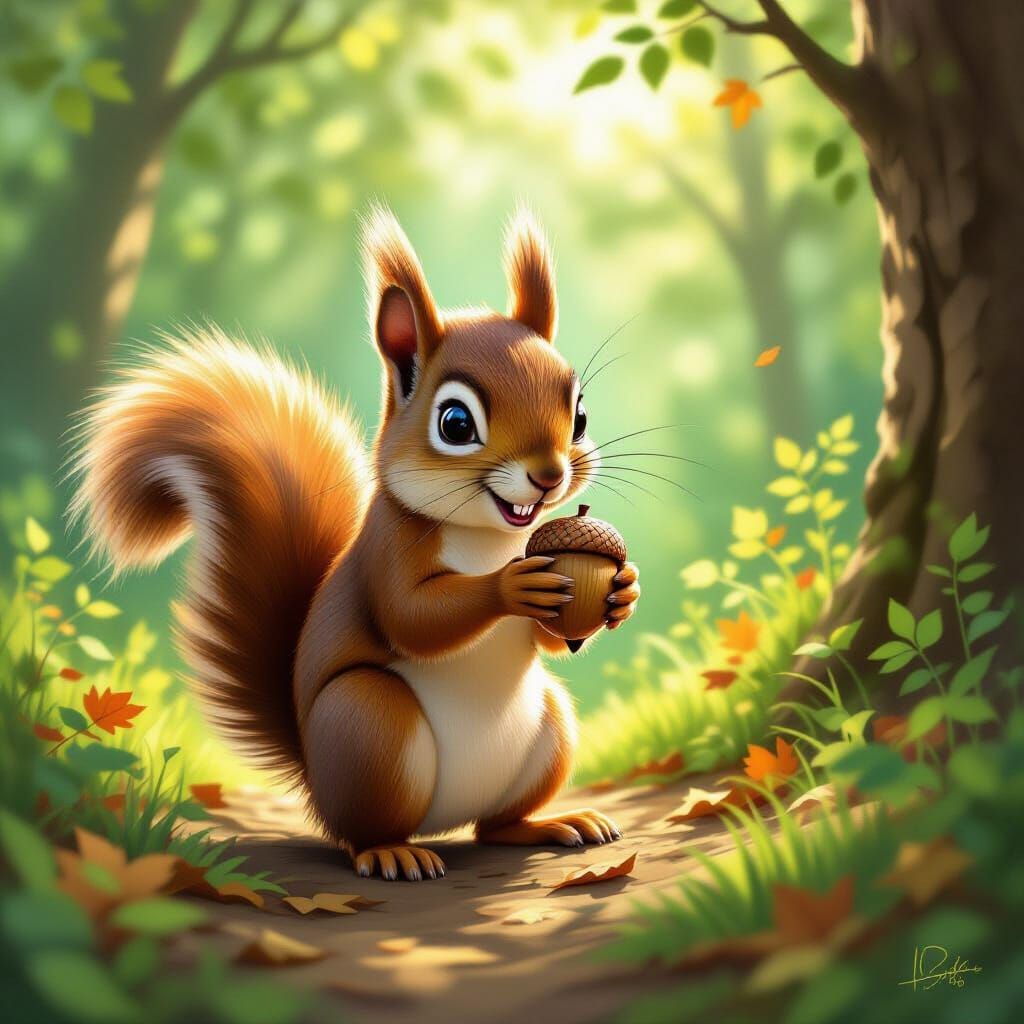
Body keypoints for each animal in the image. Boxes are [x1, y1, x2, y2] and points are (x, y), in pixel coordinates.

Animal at [73, 207, 641, 881]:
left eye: (579, 415)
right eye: (455, 424)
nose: (550, 476)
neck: (489, 535)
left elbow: (552, 640)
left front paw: (623, 591)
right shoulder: (386, 551)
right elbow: (412, 616)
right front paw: (510, 586)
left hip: (549, 726)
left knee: (494, 827)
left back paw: (550, 824)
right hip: (369, 725)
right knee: (360, 831)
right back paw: (393, 852)